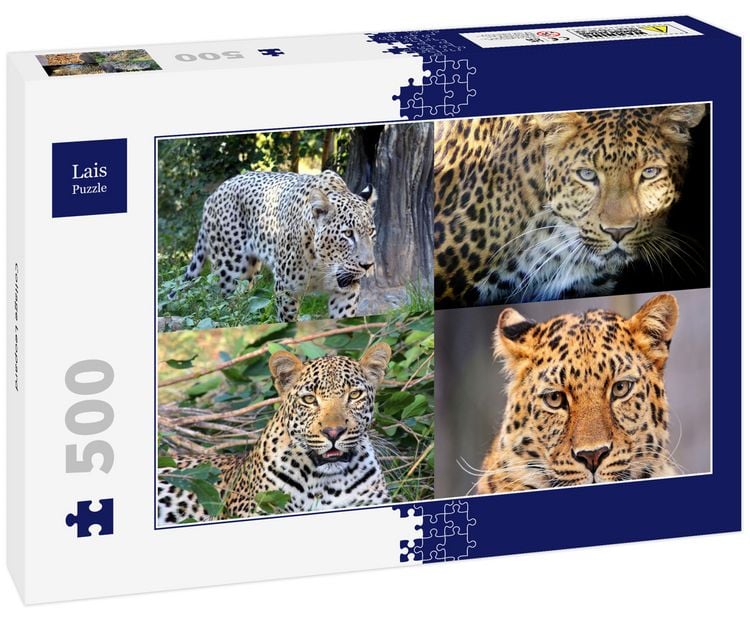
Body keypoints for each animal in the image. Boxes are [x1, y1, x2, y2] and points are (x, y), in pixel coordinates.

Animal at [175, 169, 377, 321]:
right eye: (348, 234)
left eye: (371, 232)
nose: (367, 266)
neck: (323, 265)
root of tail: (214, 194)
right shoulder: (286, 290)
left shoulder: (346, 293)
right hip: (231, 272)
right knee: (224, 307)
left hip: (248, 276)